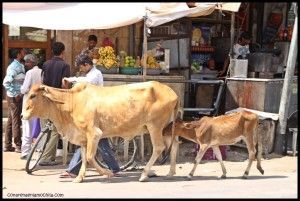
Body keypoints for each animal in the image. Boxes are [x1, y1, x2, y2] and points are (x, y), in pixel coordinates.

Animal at [22, 81, 180, 183]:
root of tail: (173, 93)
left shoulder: (94, 133)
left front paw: (107, 173)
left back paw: (144, 174)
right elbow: (84, 157)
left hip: (155, 126)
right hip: (166, 128)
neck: (71, 103)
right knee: (175, 144)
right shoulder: (83, 138)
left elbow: (90, 157)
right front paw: (79, 178)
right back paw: (171, 172)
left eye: (33, 95)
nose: (23, 115)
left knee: (159, 148)